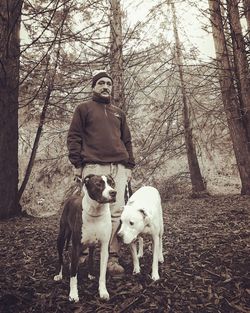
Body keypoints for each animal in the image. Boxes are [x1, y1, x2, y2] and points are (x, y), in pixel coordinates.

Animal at [53, 174, 116, 302]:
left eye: (112, 183)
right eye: (98, 184)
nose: (113, 192)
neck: (96, 212)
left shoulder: (104, 247)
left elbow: (102, 273)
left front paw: (103, 291)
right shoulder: (76, 246)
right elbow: (73, 274)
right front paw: (73, 294)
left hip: (89, 244)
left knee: (90, 257)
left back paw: (90, 273)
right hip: (61, 238)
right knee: (61, 258)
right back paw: (59, 274)